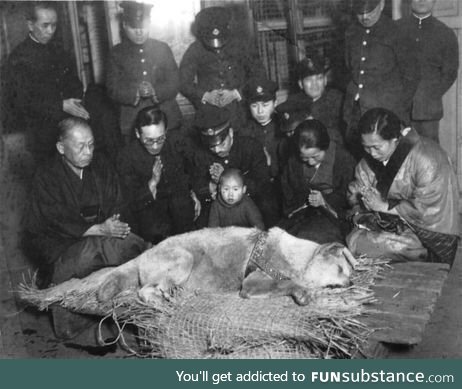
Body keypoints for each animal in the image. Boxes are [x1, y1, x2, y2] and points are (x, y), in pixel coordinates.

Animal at [96, 226, 358, 304]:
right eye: (339, 269)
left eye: (348, 271)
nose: (351, 283)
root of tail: (144, 254)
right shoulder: (252, 284)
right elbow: (287, 284)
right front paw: (302, 292)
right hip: (184, 259)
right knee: (143, 291)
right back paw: (161, 300)